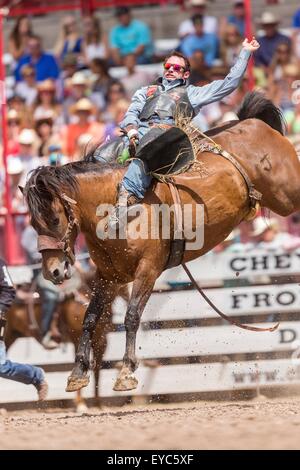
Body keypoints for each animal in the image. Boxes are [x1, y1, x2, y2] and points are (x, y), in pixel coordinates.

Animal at [22, 92, 300, 392]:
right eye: (33, 223)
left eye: (54, 220)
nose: (53, 271)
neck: (119, 206)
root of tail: (254, 124)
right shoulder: (109, 276)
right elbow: (90, 318)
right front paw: (77, 373)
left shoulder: (148, 269)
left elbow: (132, 316)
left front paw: (126, 372)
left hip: (288, 194)